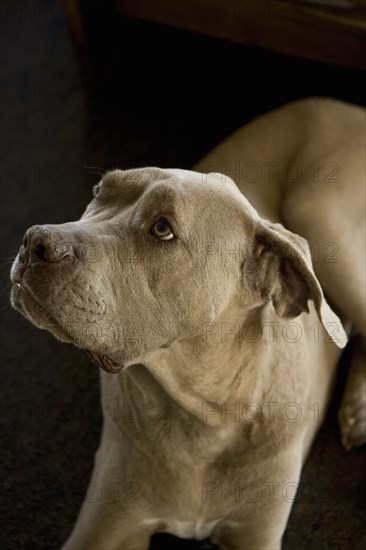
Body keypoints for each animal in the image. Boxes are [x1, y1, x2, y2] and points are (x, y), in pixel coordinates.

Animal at [10, 100, 364, 550]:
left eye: (163, 228)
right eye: (97, 194)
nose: (34, 242)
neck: (200, 419)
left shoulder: (255, 533)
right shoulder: (102, 525)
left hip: (320, 216)